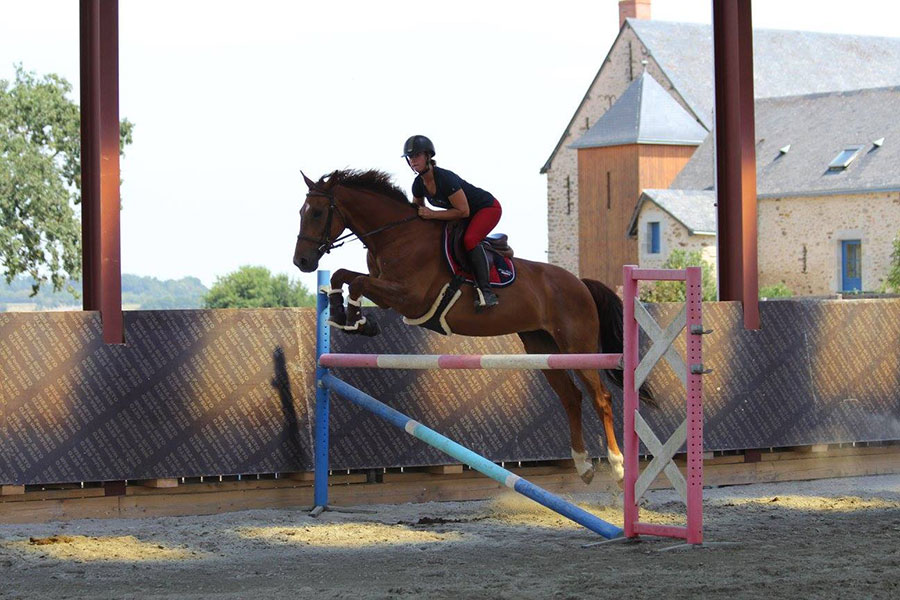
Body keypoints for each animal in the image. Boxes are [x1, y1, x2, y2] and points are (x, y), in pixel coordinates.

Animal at [292, 170, 628, 488]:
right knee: (571, 397)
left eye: (317, 213)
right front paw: (342, 315)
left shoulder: (409, 297)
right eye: (301, 211)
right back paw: (583, 466)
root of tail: (580, 283)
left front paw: (360, 321)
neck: (397, 236)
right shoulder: (388, 293)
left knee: (601, 398)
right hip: (542, 348)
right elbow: (342, 275)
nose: (302, 261)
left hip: (577, 346)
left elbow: (358, 282)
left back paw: (617, 465)